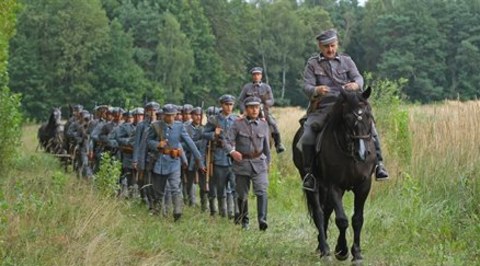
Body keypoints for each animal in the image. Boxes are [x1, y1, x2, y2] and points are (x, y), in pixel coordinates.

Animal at [290, 88, 376, 264]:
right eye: (347, 118)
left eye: (368, 115)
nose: (362, 153)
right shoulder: (334, 186)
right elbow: (341, 220)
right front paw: (341, 251)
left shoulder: (363, 186)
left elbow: (357, 219)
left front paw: (357, 254)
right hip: (313, 184)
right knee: (319, 213)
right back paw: (324, 250)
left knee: (327, 211)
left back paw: (321, 246)